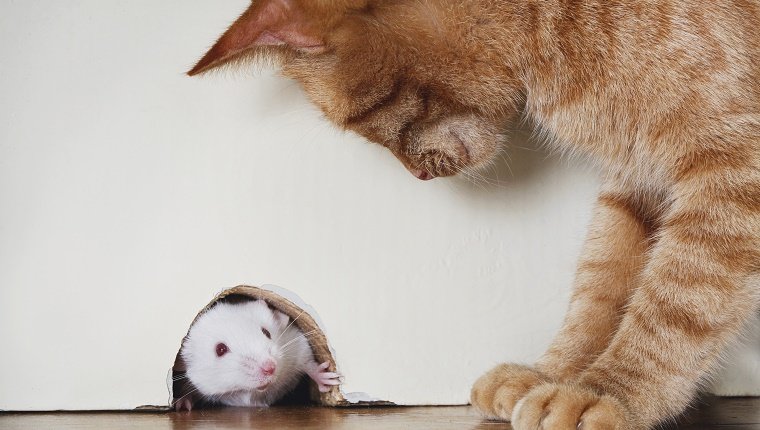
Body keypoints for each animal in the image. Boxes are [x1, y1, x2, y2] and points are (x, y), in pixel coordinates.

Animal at [187, 1, 756, 428]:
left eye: (363, 119)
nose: (418, 176)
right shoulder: (634, 183)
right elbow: (602, 290)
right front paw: (552, 375)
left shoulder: (732, 174)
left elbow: (675, 305)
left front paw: (607, 392)